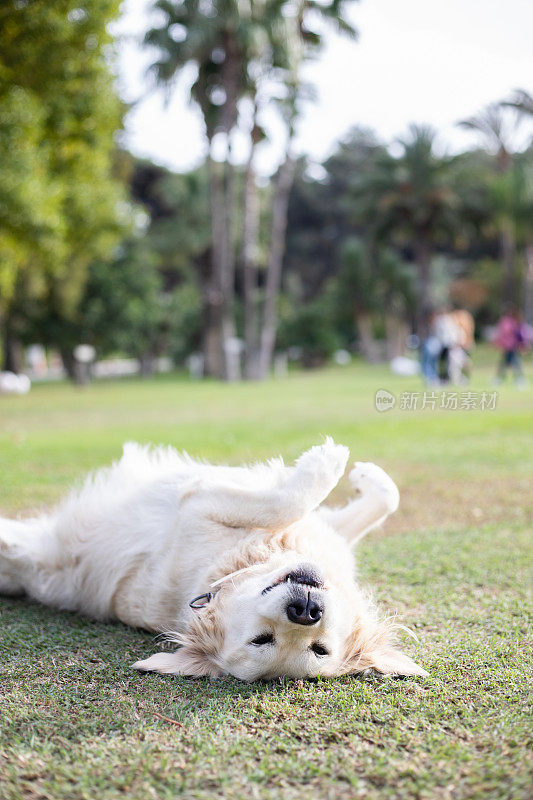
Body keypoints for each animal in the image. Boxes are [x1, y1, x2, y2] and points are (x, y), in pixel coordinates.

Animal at [0, 438, 426, 680]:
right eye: (262, 639)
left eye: (317, 649)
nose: (306, 610)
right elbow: (374, 498)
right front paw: (350, 470)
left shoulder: (201, 504)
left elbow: (299, 499)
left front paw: (338, 467)